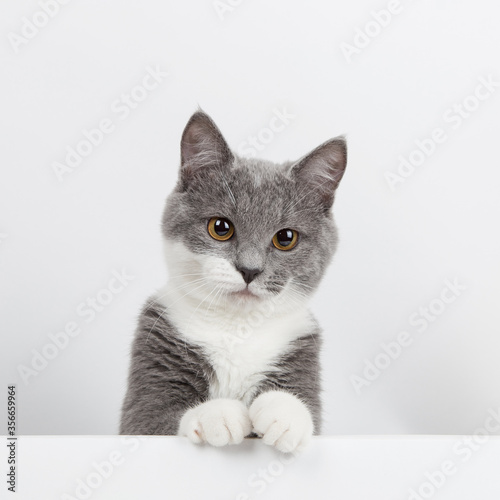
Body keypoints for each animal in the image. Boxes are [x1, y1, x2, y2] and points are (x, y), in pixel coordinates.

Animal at [120, 110, 348, 454]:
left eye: (286, 238)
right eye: (220, 227)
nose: (249, 270)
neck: (237, 328)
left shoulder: (300, 347)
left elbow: (303, 410)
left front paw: (284, 414)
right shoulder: (143, 399)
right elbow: (154, 419)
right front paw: (218, 414)